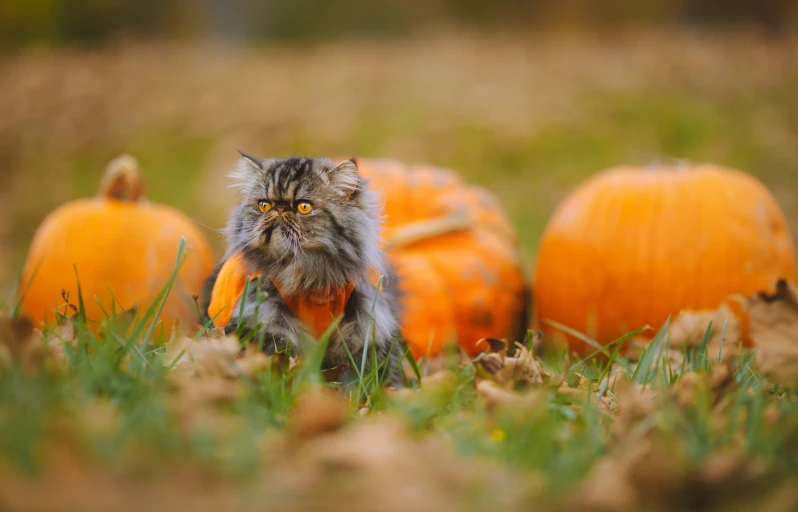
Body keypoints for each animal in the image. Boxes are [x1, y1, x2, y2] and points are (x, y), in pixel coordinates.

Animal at [206, 154, 406, 386]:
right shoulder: (264, 321)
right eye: (264, 205)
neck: (308, 276)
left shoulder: (367, 330)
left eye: (303, 207)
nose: (279, 209)